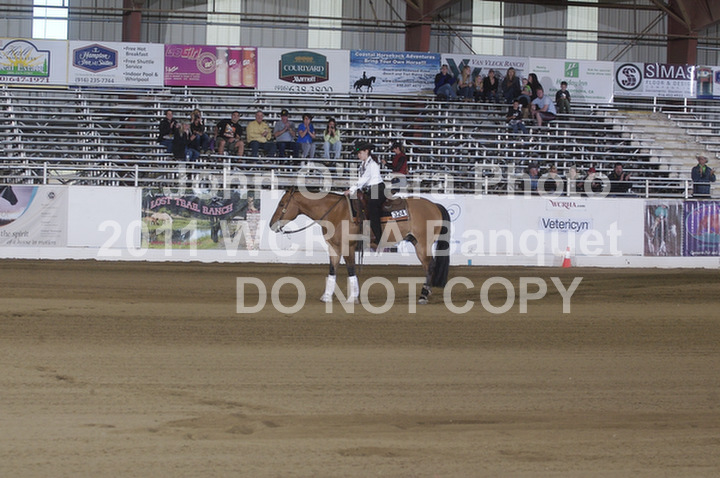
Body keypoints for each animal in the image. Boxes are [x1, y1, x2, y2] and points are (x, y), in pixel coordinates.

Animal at [269, 187, 450, 304]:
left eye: (281, 204)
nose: (271, 225)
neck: (335, 212)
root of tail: (435, 205)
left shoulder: (348, 247)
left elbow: (351, 270)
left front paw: (352, 298)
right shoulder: (333, 248)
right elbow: (332, 270)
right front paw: (326, 296)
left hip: (423, 244)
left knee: (430, 265)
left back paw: (423, 296)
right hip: (415, 242)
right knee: (428, 266)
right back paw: (427, 292)